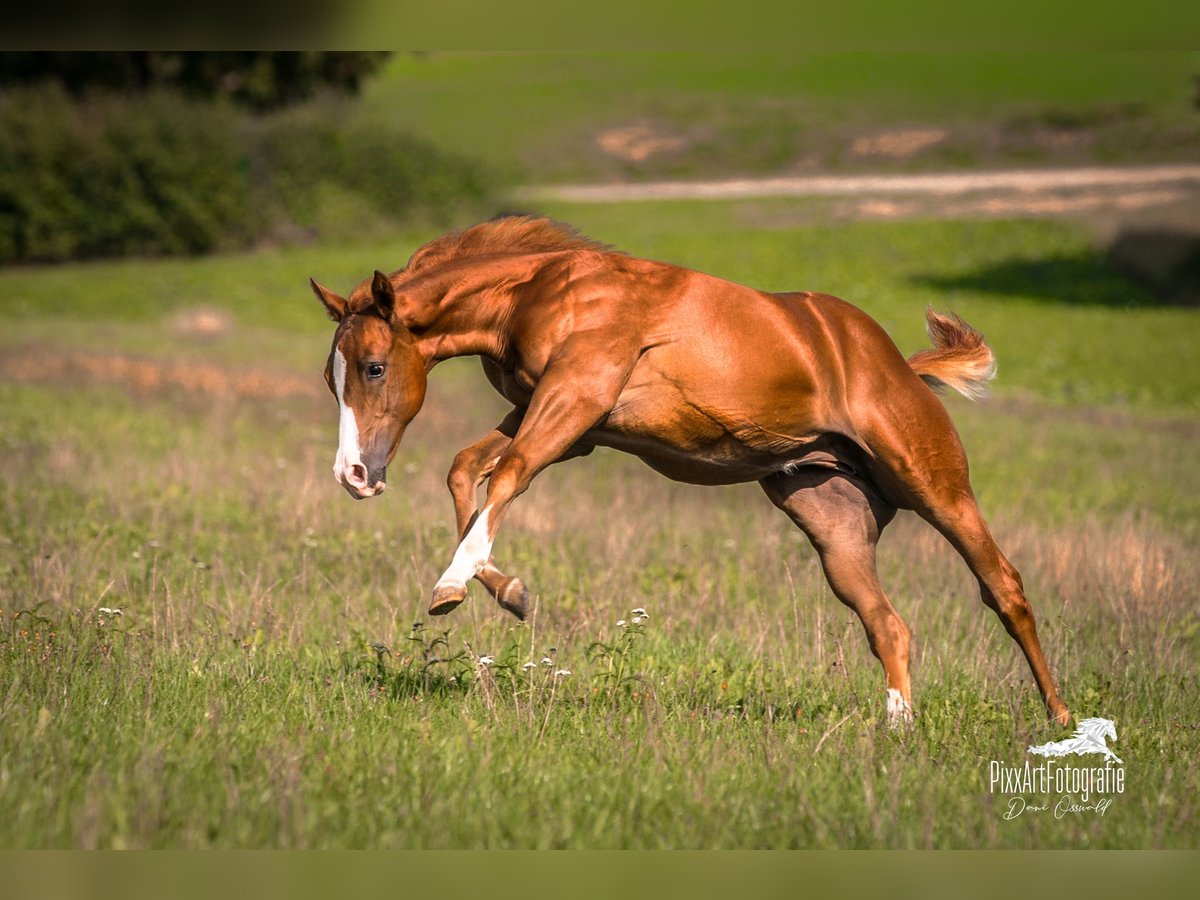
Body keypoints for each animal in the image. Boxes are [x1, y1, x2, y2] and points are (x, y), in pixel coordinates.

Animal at [309, 214, 1070, 727]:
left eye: (373, 367)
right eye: (331, 375)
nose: (355, 475)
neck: (542, 291)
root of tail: (899, 365)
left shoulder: (574, 401)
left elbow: (509, 474)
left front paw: (452, 586)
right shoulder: (561, 419)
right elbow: (467, 470)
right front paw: (509, 591)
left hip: (933, 484)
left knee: (1003, 588)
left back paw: (1060, 719)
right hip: (833, 524)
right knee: (888, 623)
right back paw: (898, 728)